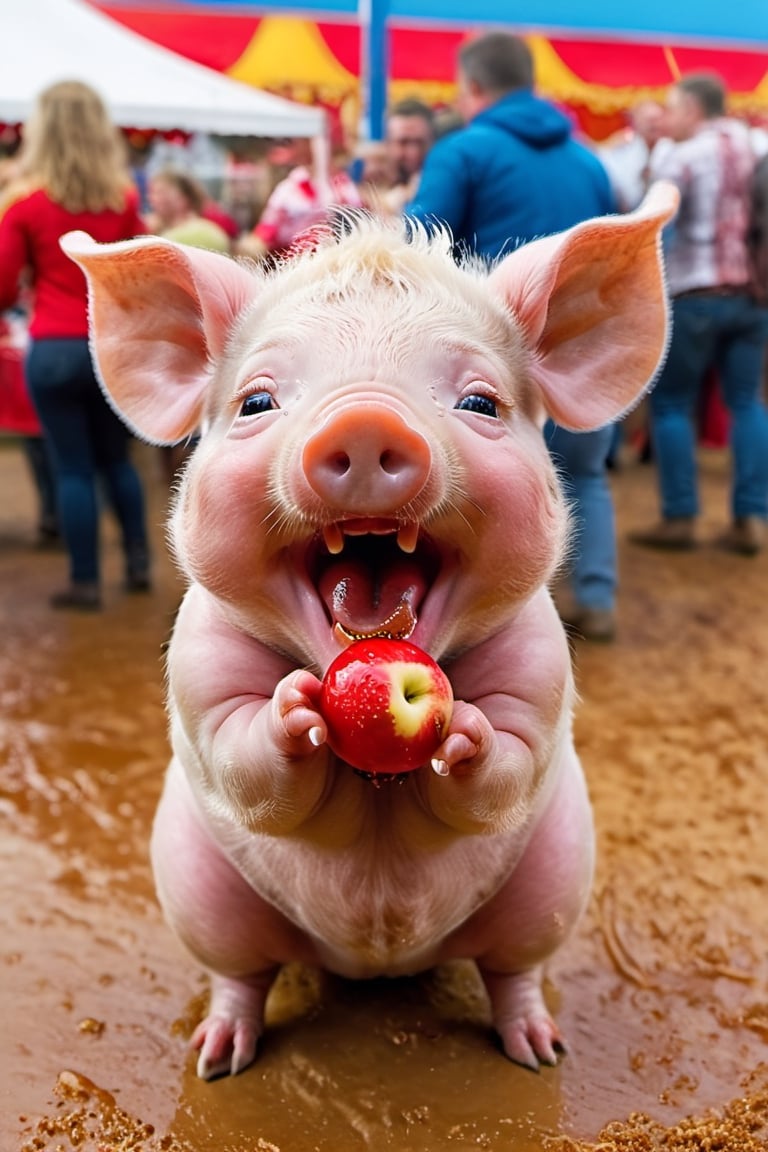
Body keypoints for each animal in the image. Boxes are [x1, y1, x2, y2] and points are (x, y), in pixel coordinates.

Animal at [62, 180, 677, 1081]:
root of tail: (376, 961)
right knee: (242, 976)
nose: (364, 421)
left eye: (480, 402)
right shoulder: (198, 666)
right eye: (256, 402)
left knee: (514, 970)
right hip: (199, 891)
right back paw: (214, 1058)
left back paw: (541, 1051)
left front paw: (468, 734)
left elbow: (512, 757)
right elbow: (239, 755)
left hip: (555, 882)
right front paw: (292, 710)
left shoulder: (543, 663)